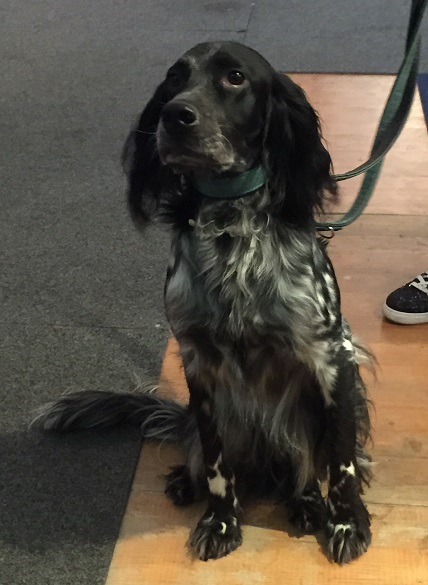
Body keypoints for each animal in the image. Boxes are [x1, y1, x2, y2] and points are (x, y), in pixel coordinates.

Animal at [34, 41, 373, 564]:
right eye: (175, 78)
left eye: (235, 77)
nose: (175, 116)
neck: (231, 225)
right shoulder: (201, 364)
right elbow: (216, 464)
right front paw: (220, 521)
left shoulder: (331, 357)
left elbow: (340, 464)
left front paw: (346, 523)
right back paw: (186, 482)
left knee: (300, 465)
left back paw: (304, 503)